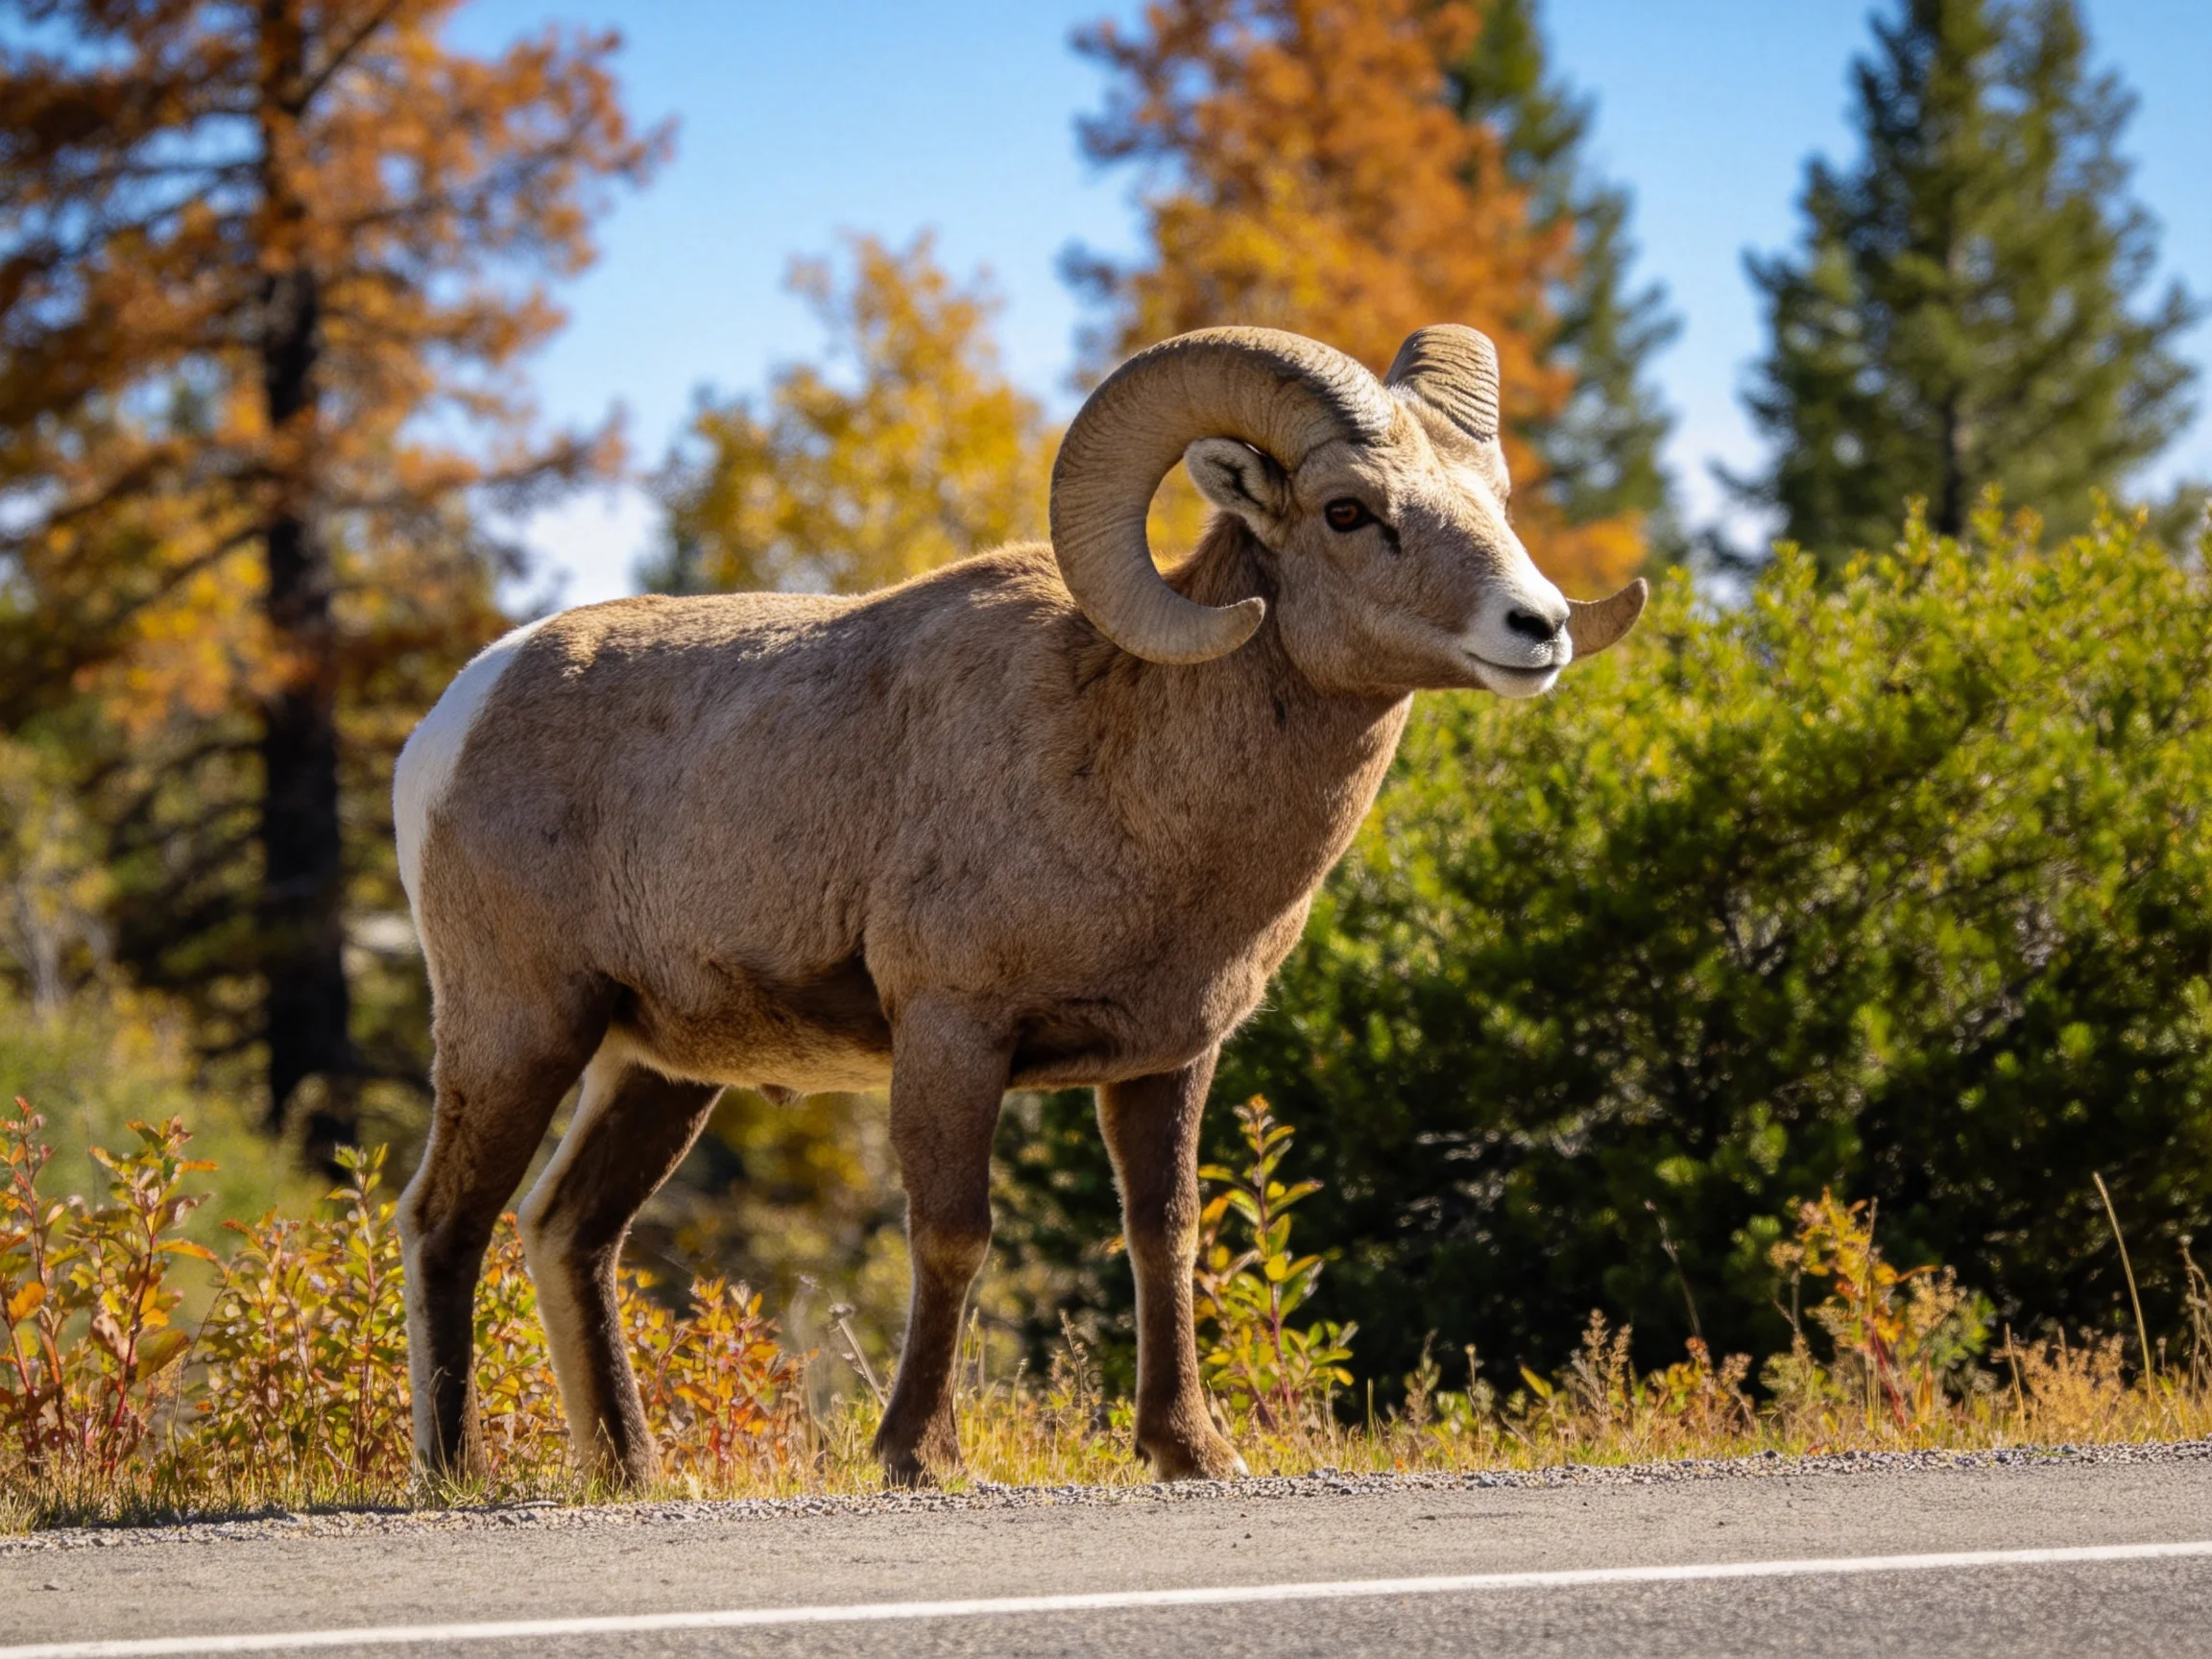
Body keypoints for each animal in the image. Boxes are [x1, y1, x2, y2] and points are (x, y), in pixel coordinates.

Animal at [392, 323, 1646, 1488]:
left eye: (1495, 499)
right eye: (1348, 511)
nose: (1539, 627)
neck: (1129, 765)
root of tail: (455, 717)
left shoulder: (1167, 1061)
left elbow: (1165, 1236)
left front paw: (1192, 1452)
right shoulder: (954, 1033)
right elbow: (954, 1236)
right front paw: (917, 1455)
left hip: (658, 1069)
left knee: (569, 1231)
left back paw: (633, 1472)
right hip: (521, 1028)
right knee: (446, 1221)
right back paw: (457, 1472)